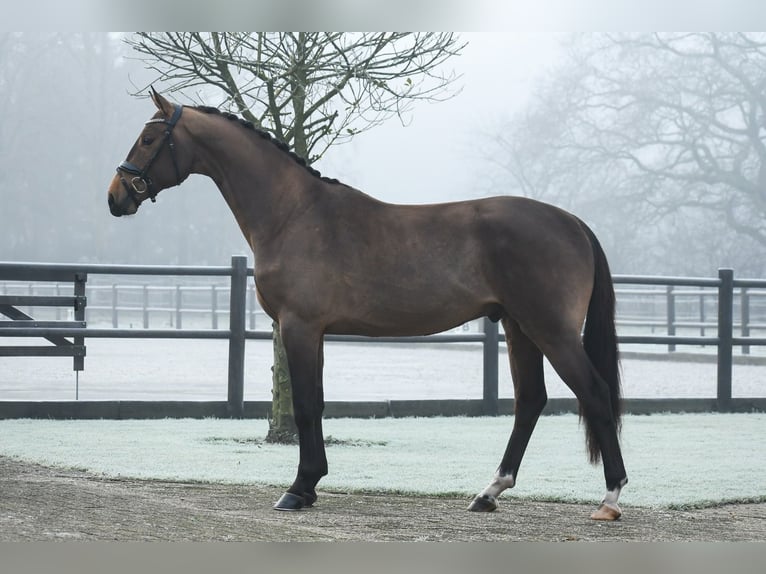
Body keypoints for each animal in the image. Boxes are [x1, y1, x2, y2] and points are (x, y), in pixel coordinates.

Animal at [111, 89, 632, 520]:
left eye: (149, 138)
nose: (116, 197)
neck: (293, 213)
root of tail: (573, 223)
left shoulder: (299, 326)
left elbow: (305, 406)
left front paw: (297, 490)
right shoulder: (314, 331)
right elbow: (318, 403)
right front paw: (311, 485)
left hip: (550, 330)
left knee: (594, 392)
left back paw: (609, 499)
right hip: (519, 327)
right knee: (530, 401)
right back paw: (488, 493)